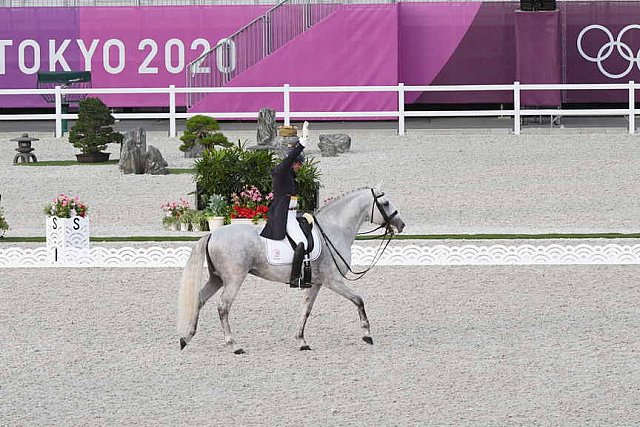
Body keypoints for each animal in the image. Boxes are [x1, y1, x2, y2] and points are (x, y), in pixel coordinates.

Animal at [178, 188, 404, 354]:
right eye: (385, 204)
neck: (333, 229)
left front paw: (301, 341)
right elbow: (358, 300)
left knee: (199, 300)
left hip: (217, 279)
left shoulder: (317, 283)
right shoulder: (332, 280)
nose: (401, 224)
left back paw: (185, 338)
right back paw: (234, 345)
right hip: (234, 279)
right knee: (223, 308)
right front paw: (367, 334)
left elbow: (306, 310)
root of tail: (213, 234)